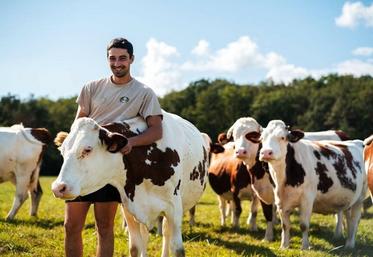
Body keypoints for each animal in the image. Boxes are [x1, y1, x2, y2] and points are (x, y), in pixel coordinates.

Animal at [50, 111, 209, 256]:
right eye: (62, 151)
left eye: (87, 149)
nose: (58, 188)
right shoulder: (129, 209)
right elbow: (135, 247)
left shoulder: (173, 208)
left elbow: (177, 249)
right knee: (145, 235)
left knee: (165, 232)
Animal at [258, 119, 364, 248]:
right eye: (261, 138)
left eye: (282, 137)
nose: (266, 152)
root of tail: (357, 141)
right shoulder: (280, 200)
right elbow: (285, 225)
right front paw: (284, 246)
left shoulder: (307, 199)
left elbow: (304, 225)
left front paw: (305, 247)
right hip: (348, 199)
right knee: (349, 218)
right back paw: (348, 242)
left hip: (360, 198)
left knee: (355, 220)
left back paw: (350, 244)